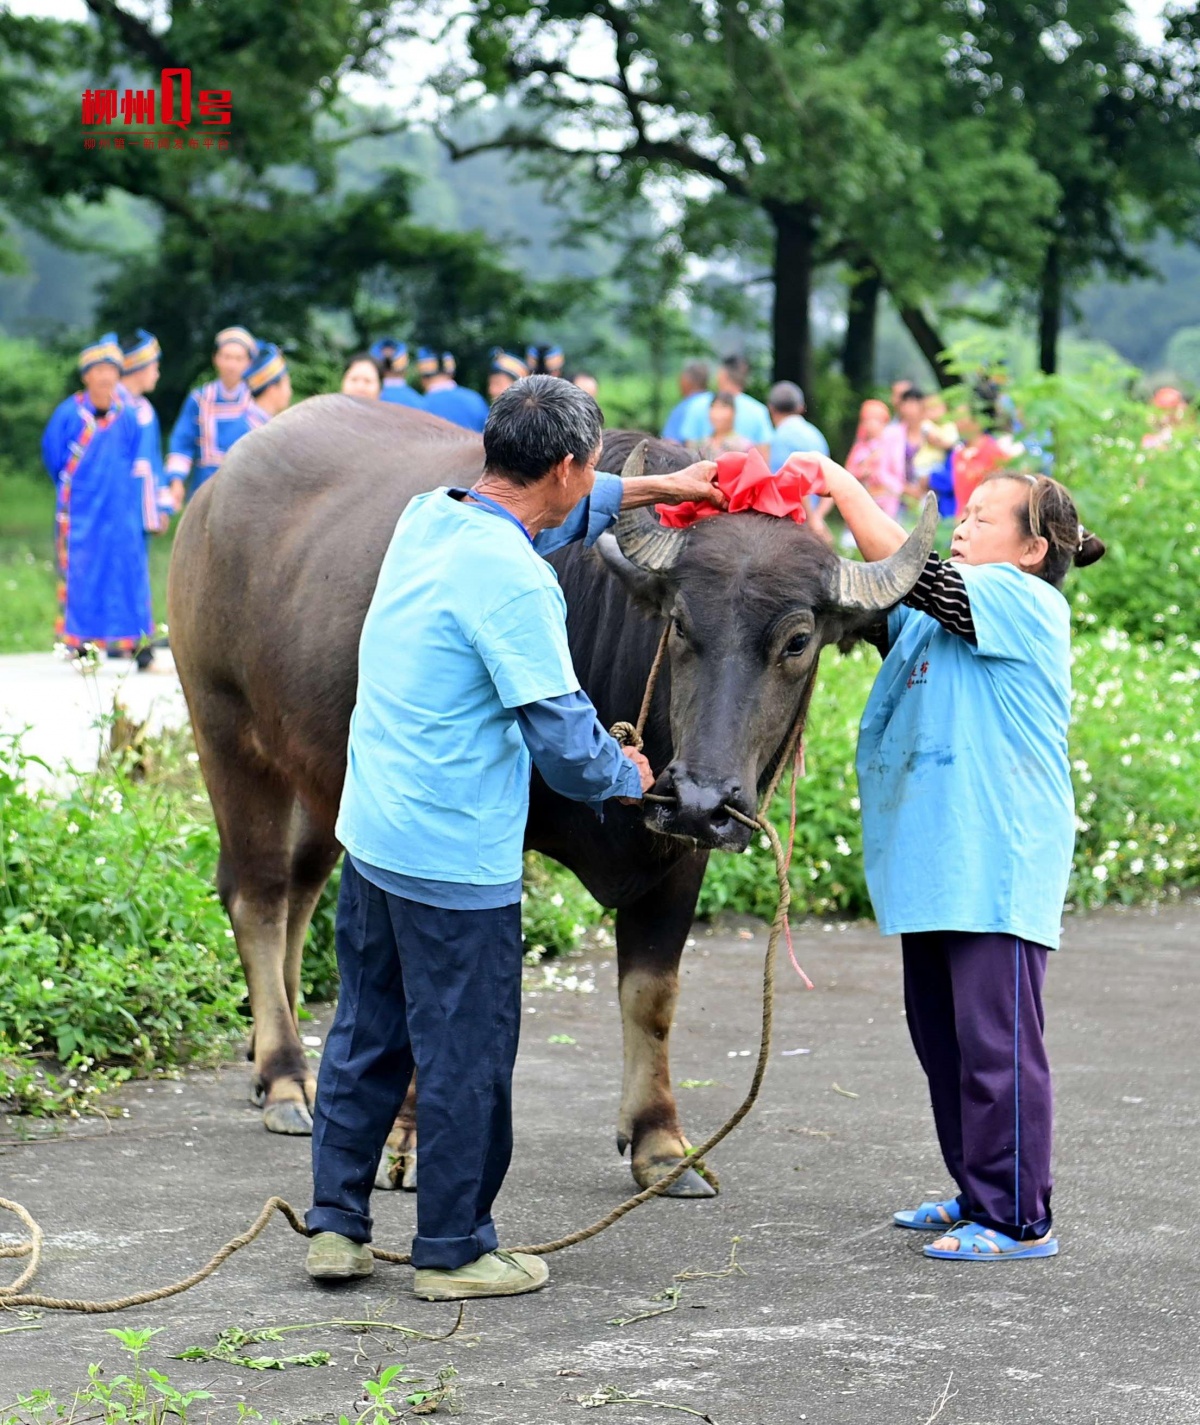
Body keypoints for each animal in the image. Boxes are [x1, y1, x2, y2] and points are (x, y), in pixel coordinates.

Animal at [168, 401, 934, 1202]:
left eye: (796, 639)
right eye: (680, 623)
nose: (701, 797)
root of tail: (215, 493)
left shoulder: (679, 850)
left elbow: (652, 993)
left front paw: (661, 1142)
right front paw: (409, 1139)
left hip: (324, 776)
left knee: (301, 886)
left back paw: (273, 1055)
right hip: (225, 731)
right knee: (257, 893)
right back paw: (286, 1077)